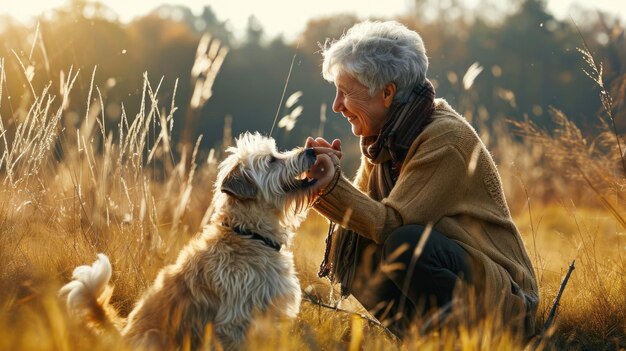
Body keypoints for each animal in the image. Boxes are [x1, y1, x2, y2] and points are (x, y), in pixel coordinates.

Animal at [59, 133, 316, 350]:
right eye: (272, 160)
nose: (311, 150)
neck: (249, 234)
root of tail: (121, 338)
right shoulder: (235, 320)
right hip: (151, 338)